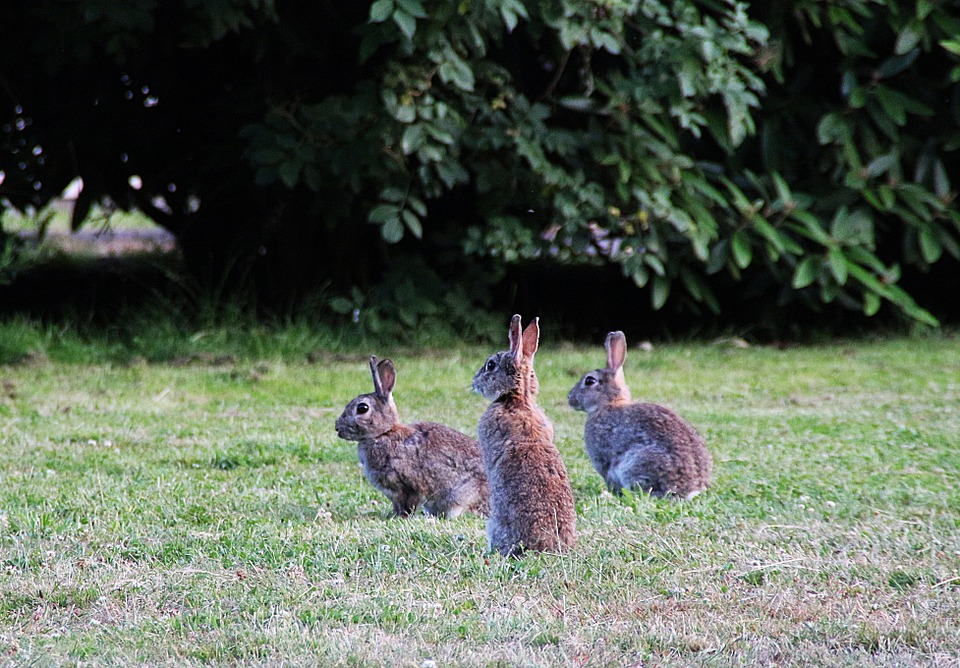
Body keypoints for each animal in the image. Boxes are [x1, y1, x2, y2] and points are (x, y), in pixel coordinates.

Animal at [335, 356, 489, 519]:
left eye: (362, 408)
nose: (337, 427)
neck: (384, 433)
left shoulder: (408, 486)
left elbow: (408, 503)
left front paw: (400, 517)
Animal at [567, 331, 712, 499]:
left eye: (589, 381)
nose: (570, 398)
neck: (609, 404)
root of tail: (691, 490)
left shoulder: (603, 460)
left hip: (635, 464)